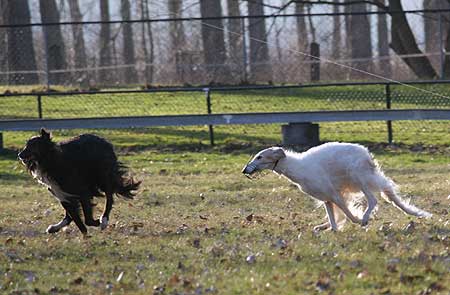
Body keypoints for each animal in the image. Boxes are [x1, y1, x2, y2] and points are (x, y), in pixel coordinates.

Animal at [243, 143, 432, 231]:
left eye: (259, 157)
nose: (244, 170)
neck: (299, 167)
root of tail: (366, 153)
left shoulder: (335, 195)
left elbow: (348, 215)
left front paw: (358, 220)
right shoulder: (327, 198)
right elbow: (334, 220)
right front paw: (328, 229)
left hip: (359, 177)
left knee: (373, 200)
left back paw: (364, 218)